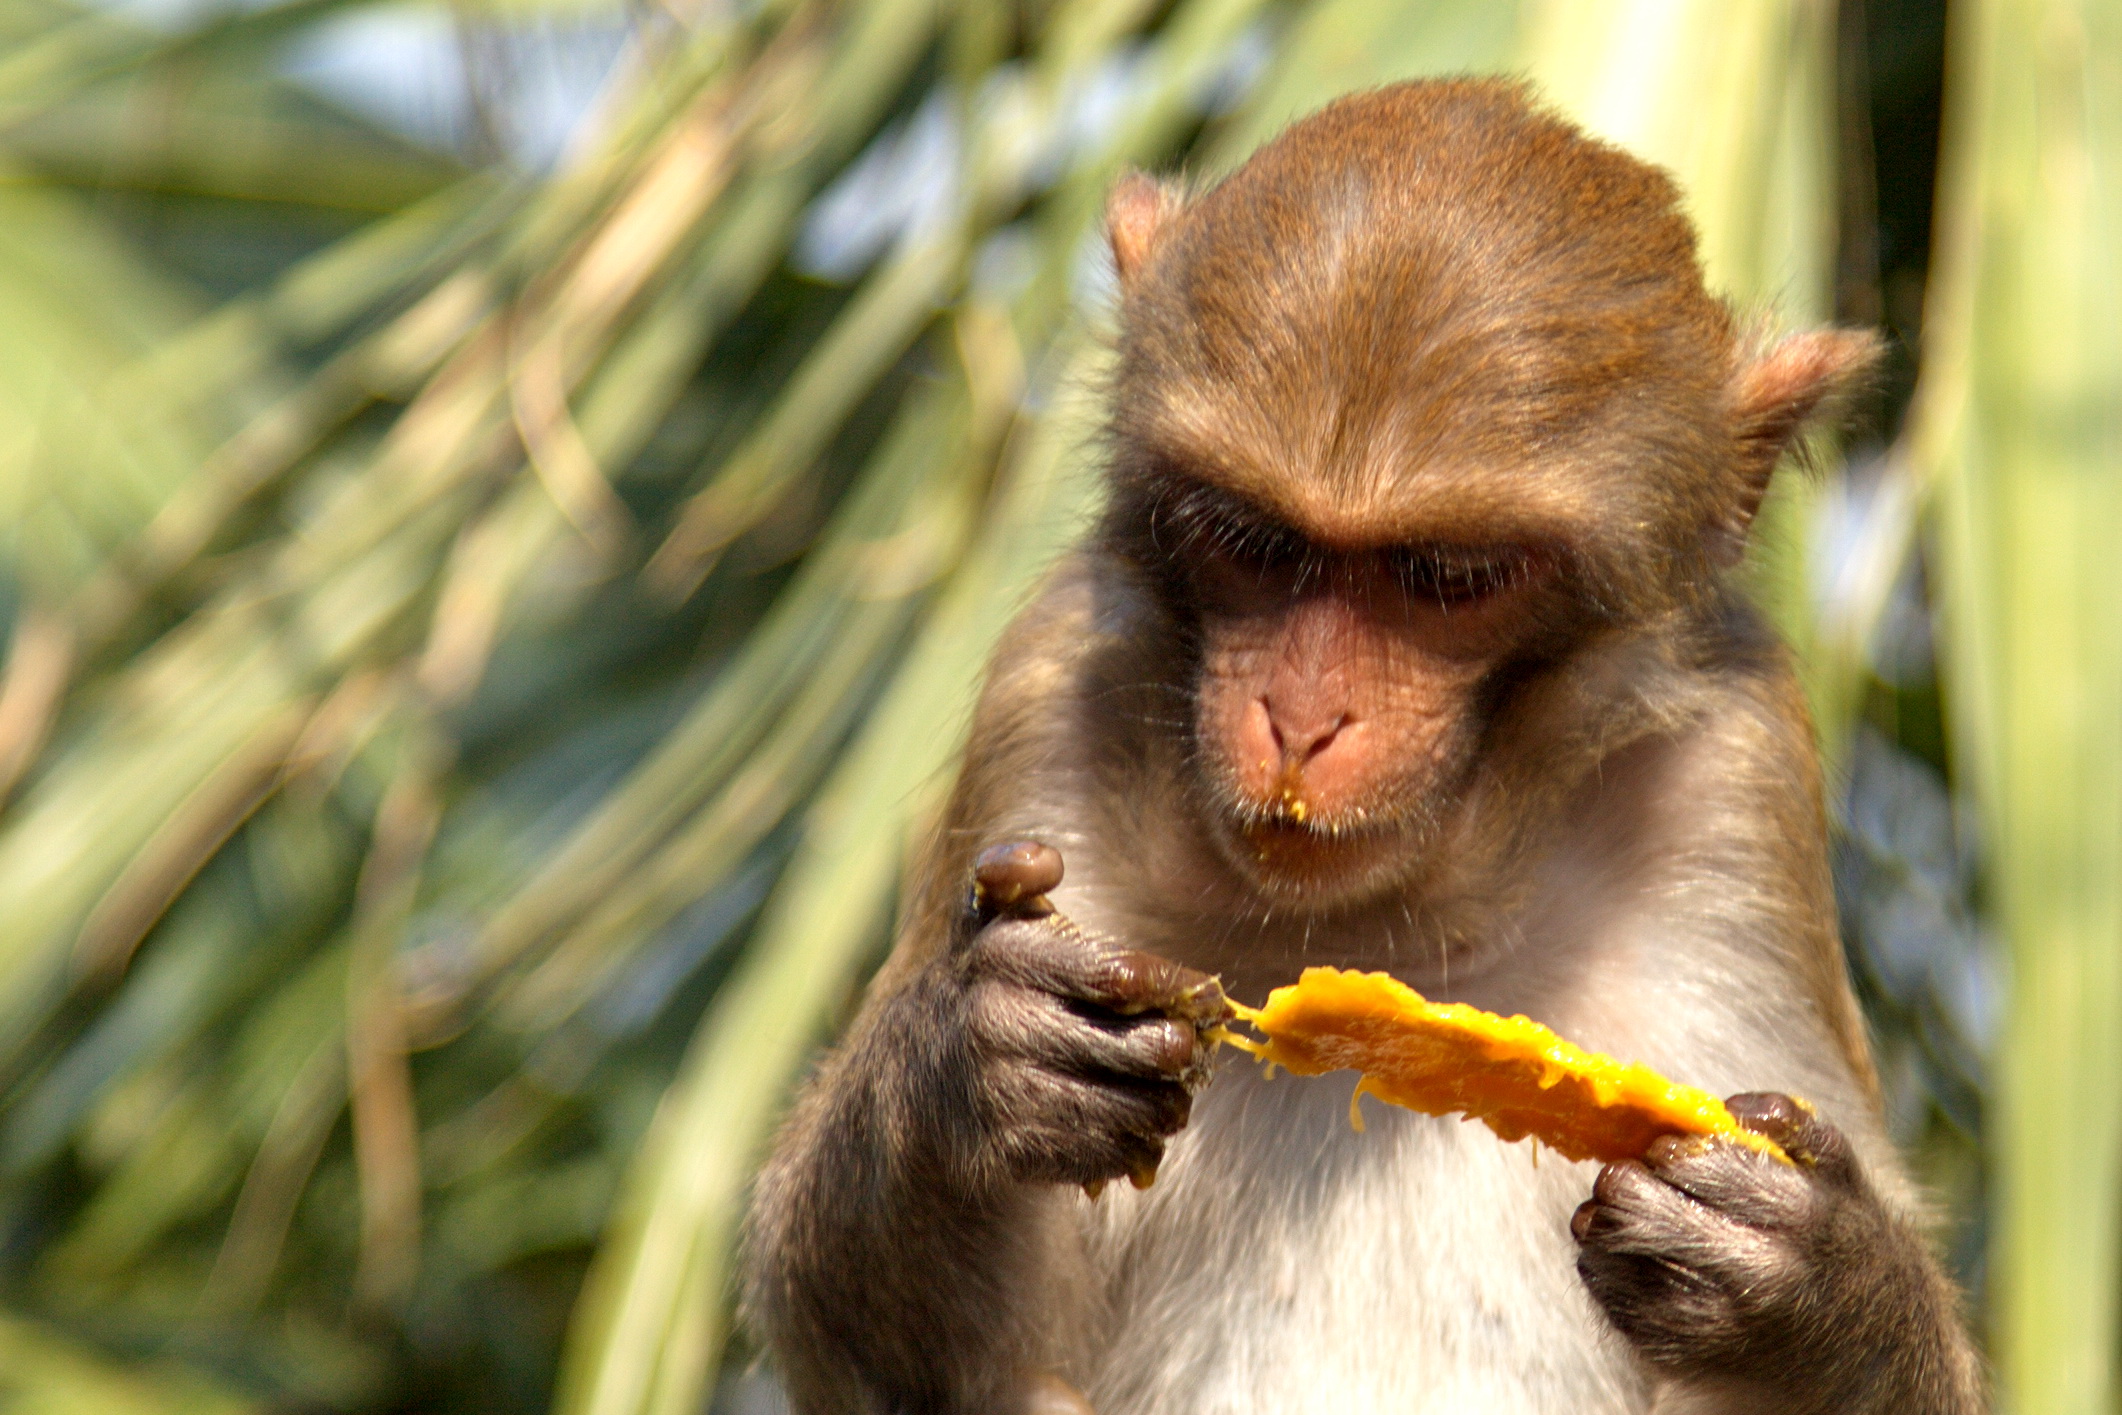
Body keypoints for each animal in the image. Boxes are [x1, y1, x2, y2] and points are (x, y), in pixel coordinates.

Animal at [738, 80, 1977, 1415]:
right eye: (1252, 539)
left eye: (1450, 576)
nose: (1301, 719)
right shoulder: (1047, 689)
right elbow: (972, 1369)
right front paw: (965, 1065)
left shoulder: (1739, 783)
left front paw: (1813, 1287)